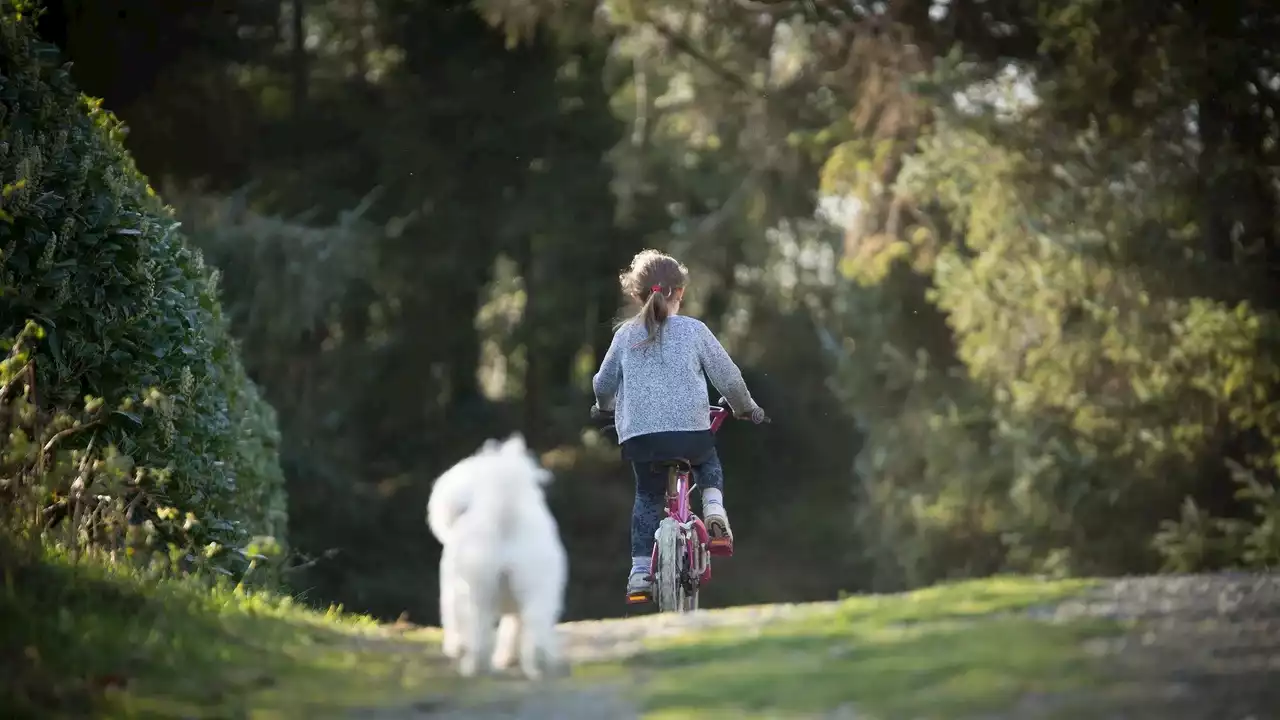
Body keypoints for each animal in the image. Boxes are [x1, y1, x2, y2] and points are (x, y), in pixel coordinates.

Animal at [424, 430, 565, 676]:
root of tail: (504, 514)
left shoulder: (451, 592)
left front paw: (455, 647)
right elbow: (512, 629)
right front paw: (507, 658)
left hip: (476, 592)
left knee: (478, 635)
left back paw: (472, 667)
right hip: (536, 590)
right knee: (534, 632)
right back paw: (535, 668)